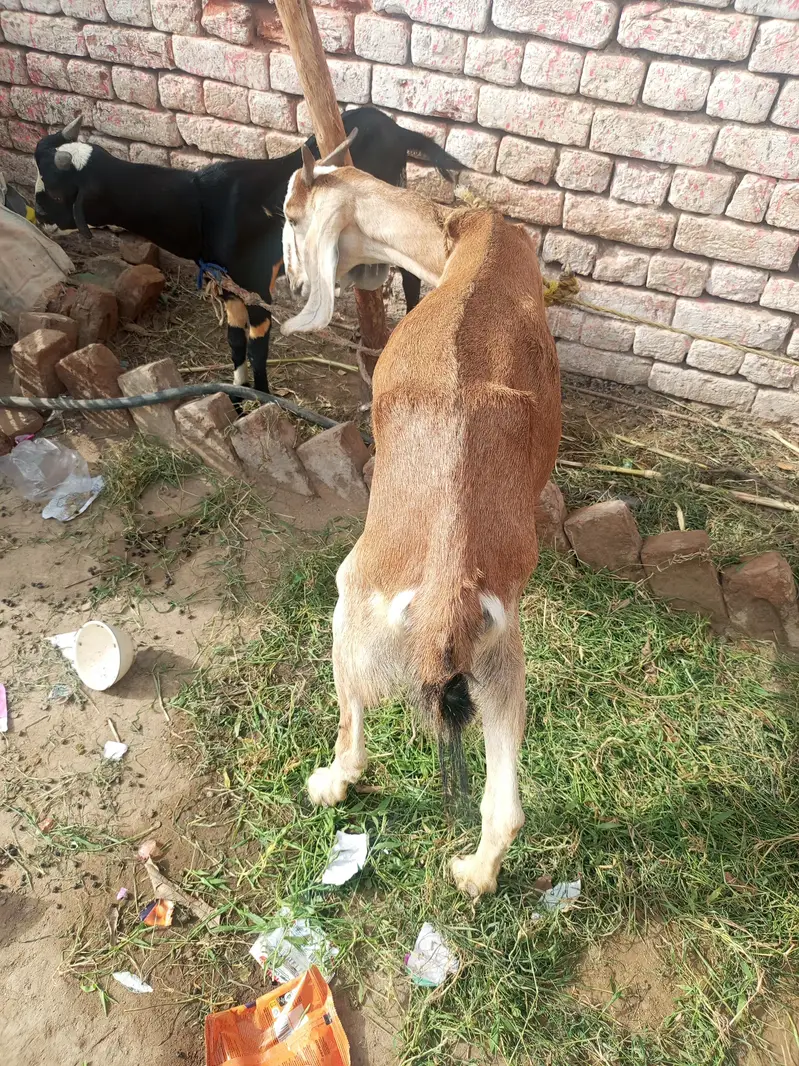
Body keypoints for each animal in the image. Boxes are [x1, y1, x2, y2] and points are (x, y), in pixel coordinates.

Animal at [33, 110, 461, 394]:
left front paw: (266, 399)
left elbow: (257, 348)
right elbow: (235, 343)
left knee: (410, 274)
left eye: (54, 191)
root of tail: (397, 129)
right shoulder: (228, 288)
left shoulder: (257, 290)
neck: (201, 208)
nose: (37, 215)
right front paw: (239, 397)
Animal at [281, 153, 562, 897]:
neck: (466, 238)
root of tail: (443, 594)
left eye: (288, 216)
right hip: (503, 662)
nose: (291, 280)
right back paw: (474, 874)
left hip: (348, 615)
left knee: (351, 730)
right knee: (506, 806)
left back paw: (328, 783)